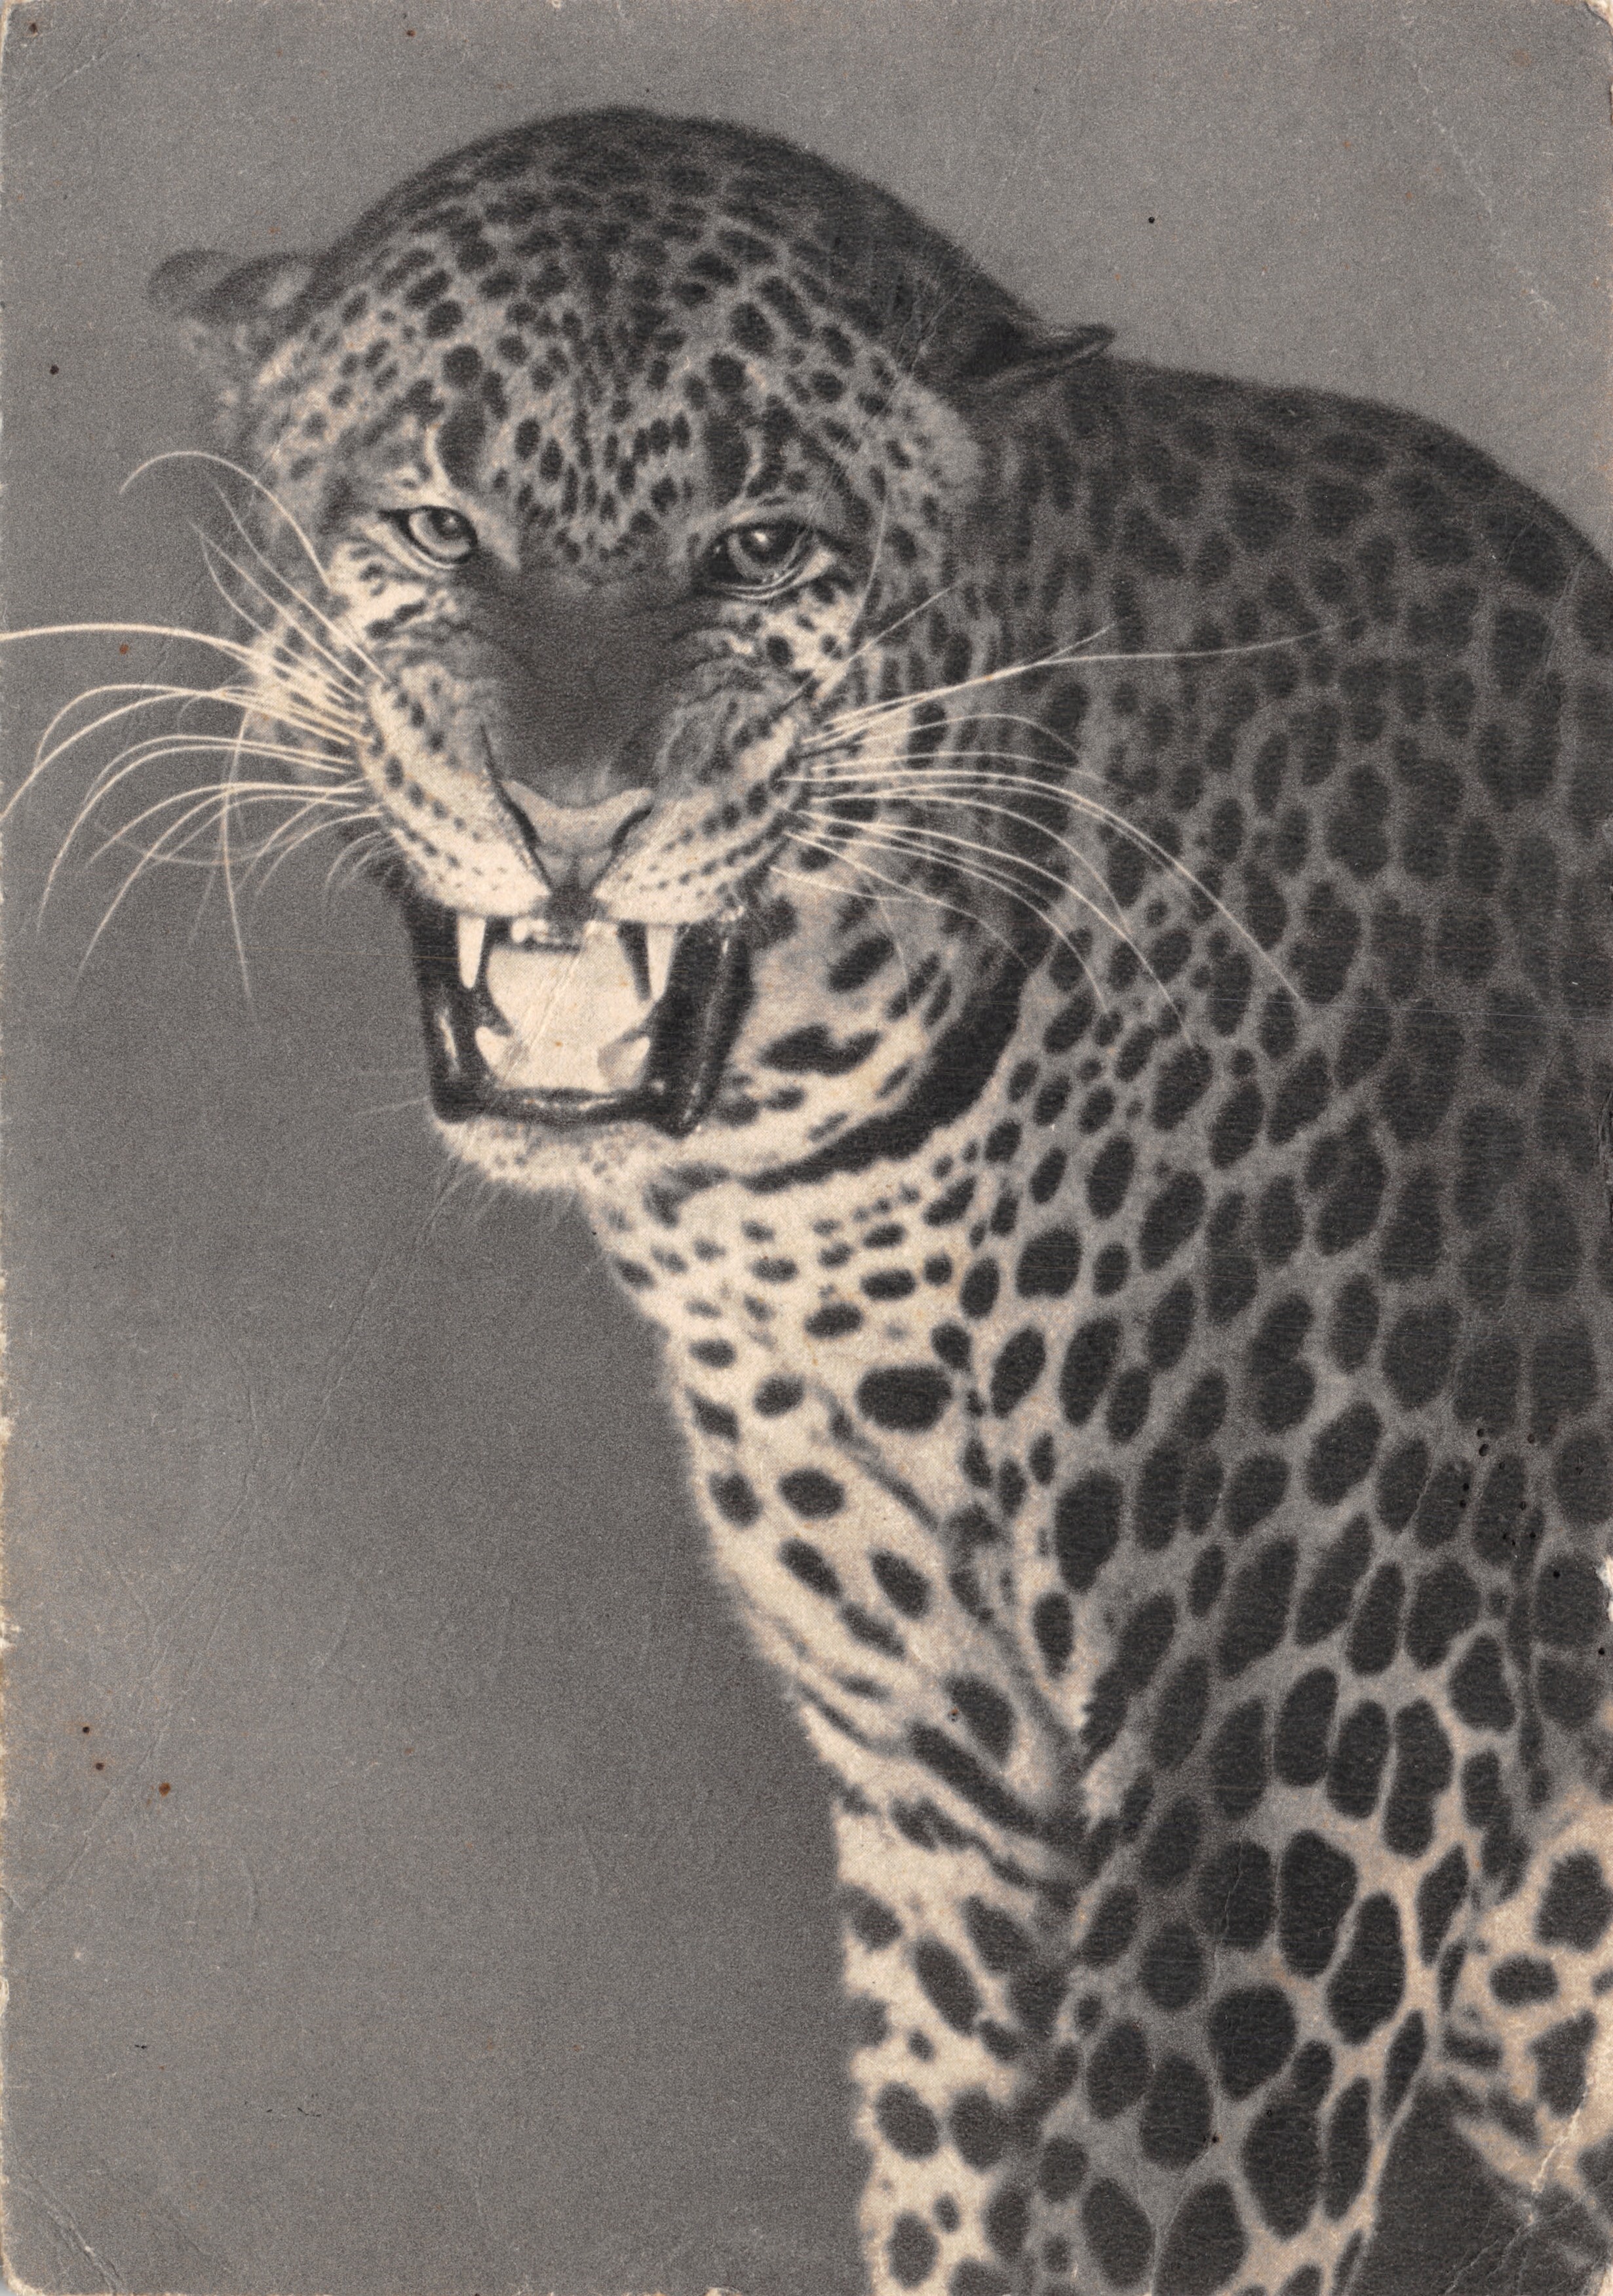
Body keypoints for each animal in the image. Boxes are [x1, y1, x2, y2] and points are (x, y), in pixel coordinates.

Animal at [61, 103, 1613, 2295]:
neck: (806, 1195)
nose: (572, 815)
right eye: (436, 527)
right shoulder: (951, 1819)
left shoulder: (1298, 1752)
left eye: (760, 549)